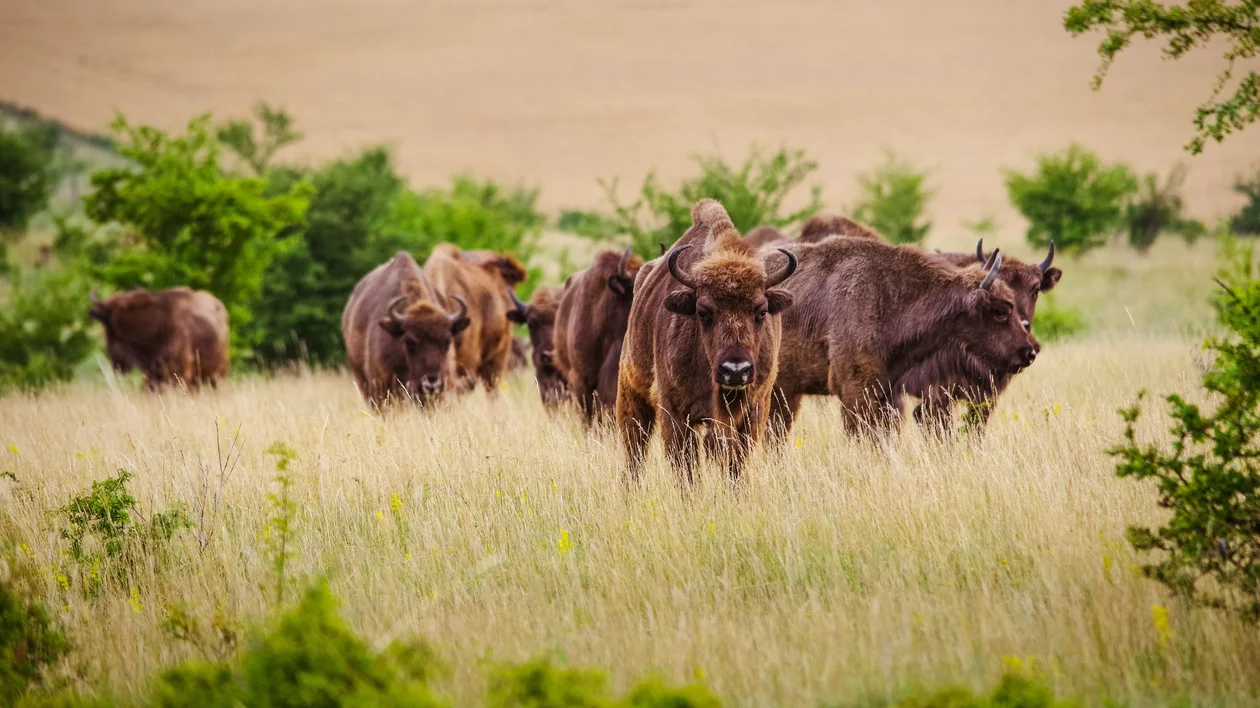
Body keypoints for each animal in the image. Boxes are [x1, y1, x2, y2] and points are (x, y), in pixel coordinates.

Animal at [618, 200, 798, 483]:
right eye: (703, 313)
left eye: (761, 311)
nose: (735, 371)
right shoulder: (676, 412)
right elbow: (686, 468)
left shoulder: (754, 409)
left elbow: (736, 462)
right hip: (631, 392)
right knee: (634, 449)